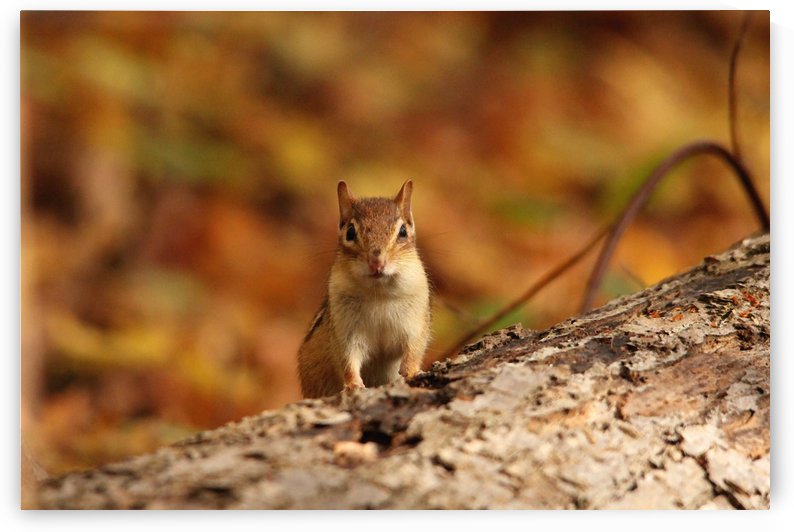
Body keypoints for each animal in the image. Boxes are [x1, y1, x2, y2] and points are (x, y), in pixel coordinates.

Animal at [297, 180, 432, 398]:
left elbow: (415, 348)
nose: (377, 262)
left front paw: (412, 371)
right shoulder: (345, 331)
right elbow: (347, 359)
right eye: (350, 232)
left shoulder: (416, 322)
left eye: (403, 232)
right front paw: (353, 385)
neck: (379, 293)